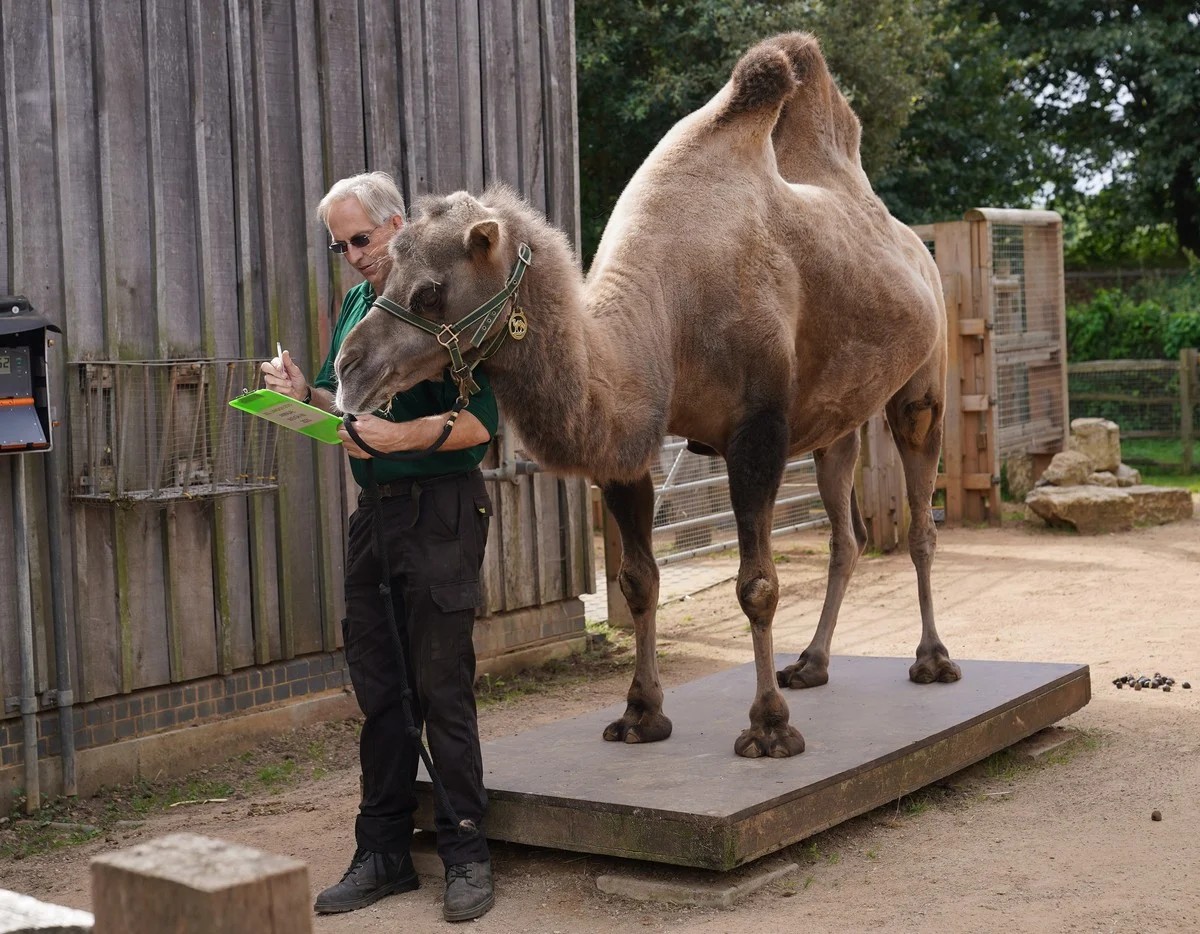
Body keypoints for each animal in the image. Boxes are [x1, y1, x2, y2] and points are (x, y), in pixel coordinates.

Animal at [333, 34, 960, 758]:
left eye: (431, 291)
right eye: (386, 269)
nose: (348, 366)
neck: (665, 315)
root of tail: (916, 247)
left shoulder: (758, 429)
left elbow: (757, 584)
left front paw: (769, 728)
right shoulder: (629, 450)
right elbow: (638, 581)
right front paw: (639, 714)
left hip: (923, 385)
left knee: (920, 520)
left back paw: (932, 660)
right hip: (837, 423)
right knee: (847, 537)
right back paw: (812, 663)